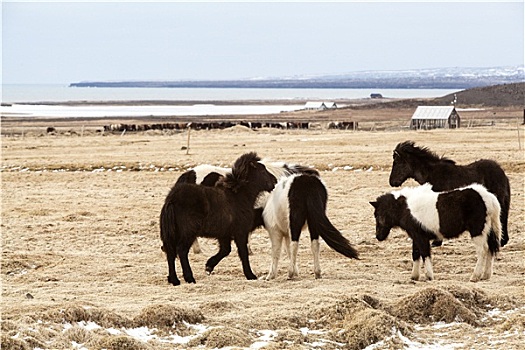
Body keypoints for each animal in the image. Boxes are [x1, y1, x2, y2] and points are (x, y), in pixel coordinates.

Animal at [159, 152, 274, 286]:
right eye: (262, 170)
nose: (274, 181)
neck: (239, 196)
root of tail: (172, 199)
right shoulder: (240, 232)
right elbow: (243, 253)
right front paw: (250, 275)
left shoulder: (224, 234)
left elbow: (225, 250)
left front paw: (209, 266)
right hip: (187, 233)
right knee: (181, 251)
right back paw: (189, 278)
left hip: (173, 233)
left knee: (170, 252)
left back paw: (174, 280)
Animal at [368, 183, 500, 282]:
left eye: (377, 214)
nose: (378, 236)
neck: (405, 208)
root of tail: (489, 198)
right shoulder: (416, 236)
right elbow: (415, 254)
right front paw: (414, 276)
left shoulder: (421, 237)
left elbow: (425, 253)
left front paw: (429, 276)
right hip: (488, 231)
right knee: (490, 249)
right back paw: (485, 275)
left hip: (477, 232)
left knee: (483, 250)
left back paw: (475, 276)